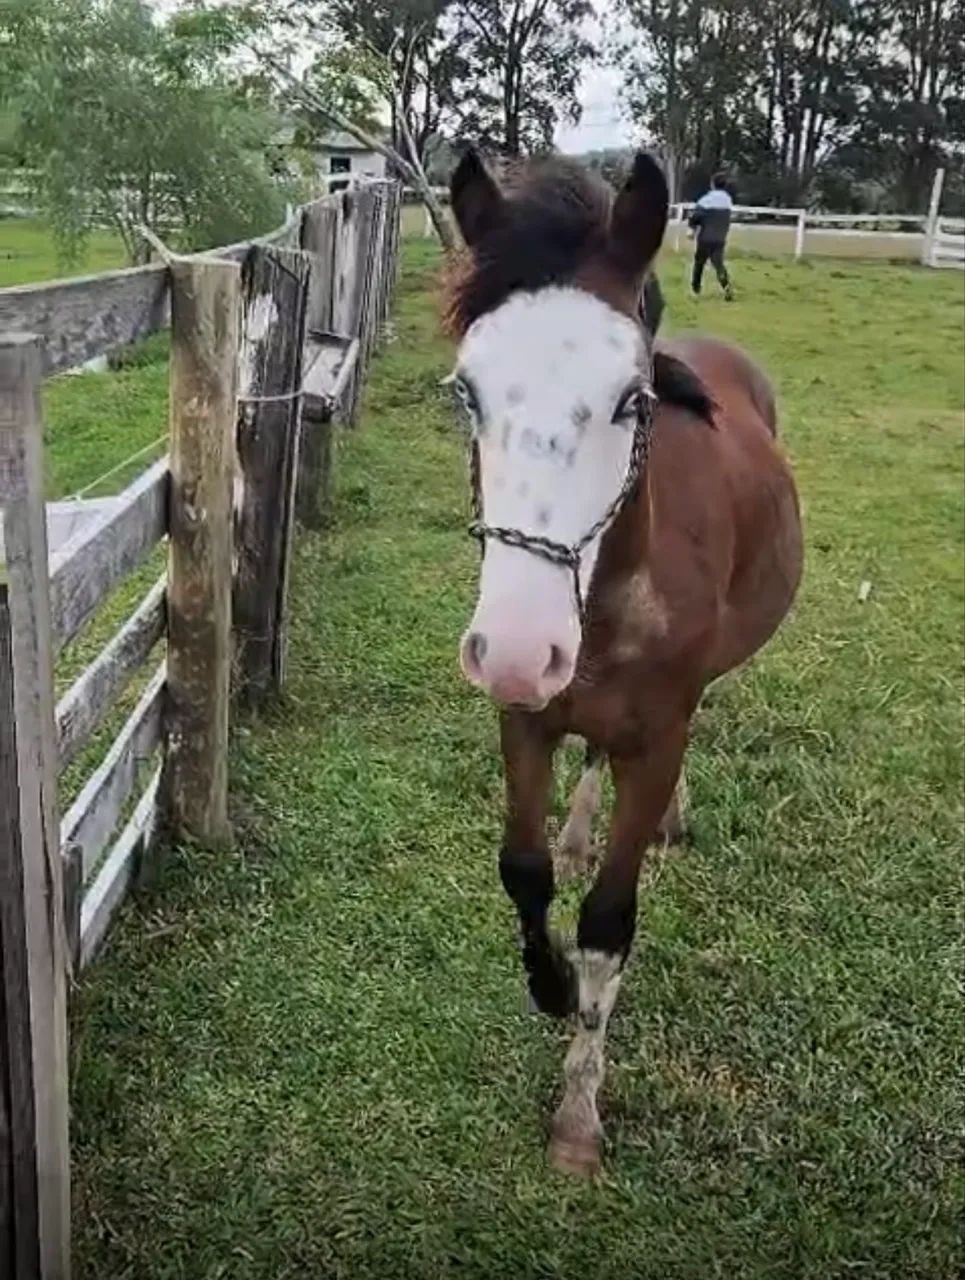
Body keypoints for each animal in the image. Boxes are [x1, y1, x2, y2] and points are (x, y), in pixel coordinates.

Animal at [443, 148, 803, 1176]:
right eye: (464, 392)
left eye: (628, 400)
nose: (516, 649)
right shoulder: (522, 719)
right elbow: (523, 872)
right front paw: (552, 985)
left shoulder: (658, 735)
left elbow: (607, 922)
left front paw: (577, 1119)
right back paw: (577, 828)